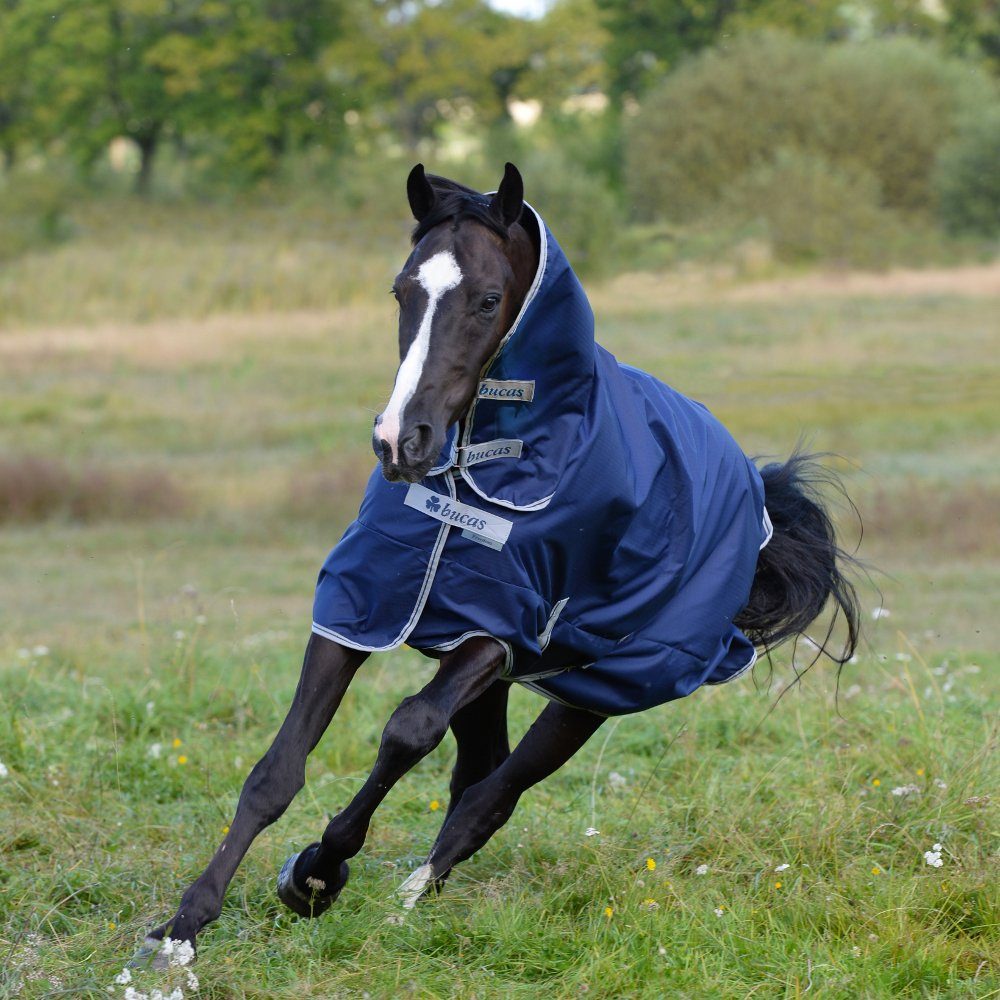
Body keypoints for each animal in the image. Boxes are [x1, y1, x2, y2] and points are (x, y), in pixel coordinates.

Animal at [138, 162, 859, 962]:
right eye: (402, 291)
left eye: (487, 300)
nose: (400, 442)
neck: (486, 470)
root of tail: (754, 489)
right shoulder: (364, 606)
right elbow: (277, 769)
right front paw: (185, 926)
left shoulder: (501, 629)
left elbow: (407, 728)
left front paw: (319, 872)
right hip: (498, 680)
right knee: (476, 773)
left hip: (594, 688)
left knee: (494, 793)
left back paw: (407, 901)